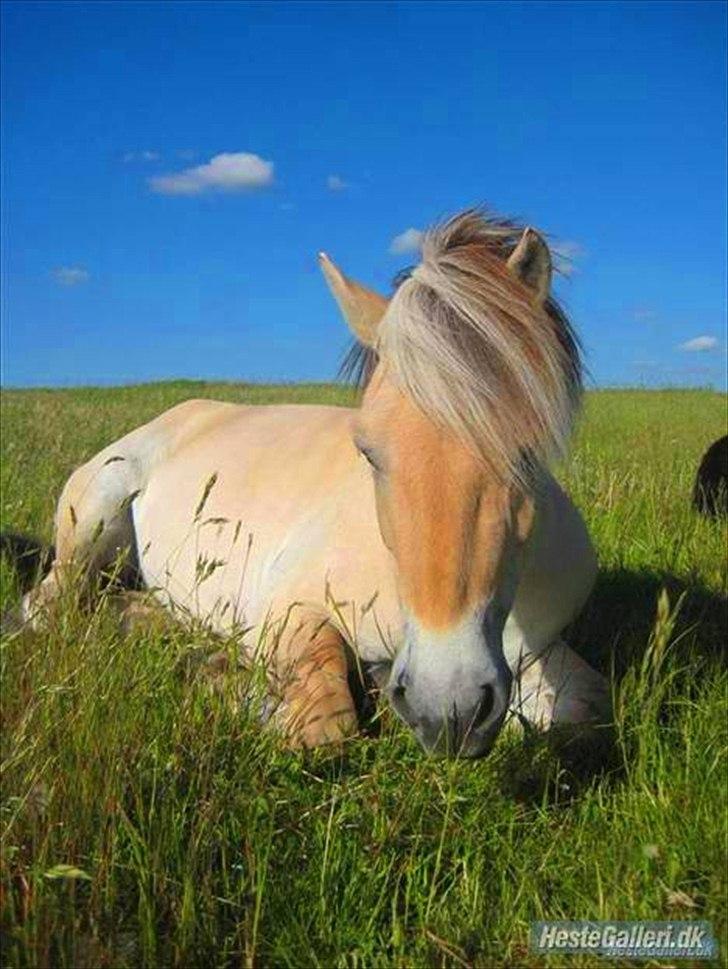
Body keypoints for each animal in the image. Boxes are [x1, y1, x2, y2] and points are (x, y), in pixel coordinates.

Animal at [16, 209, 610, 757]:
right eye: (368, 452)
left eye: (528, 452)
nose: (450, 706)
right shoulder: (291, 610)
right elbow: (326, 724)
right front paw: (233, 681)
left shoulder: (534, 652)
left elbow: (584, 707)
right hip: (96, 515)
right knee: (51, 605)